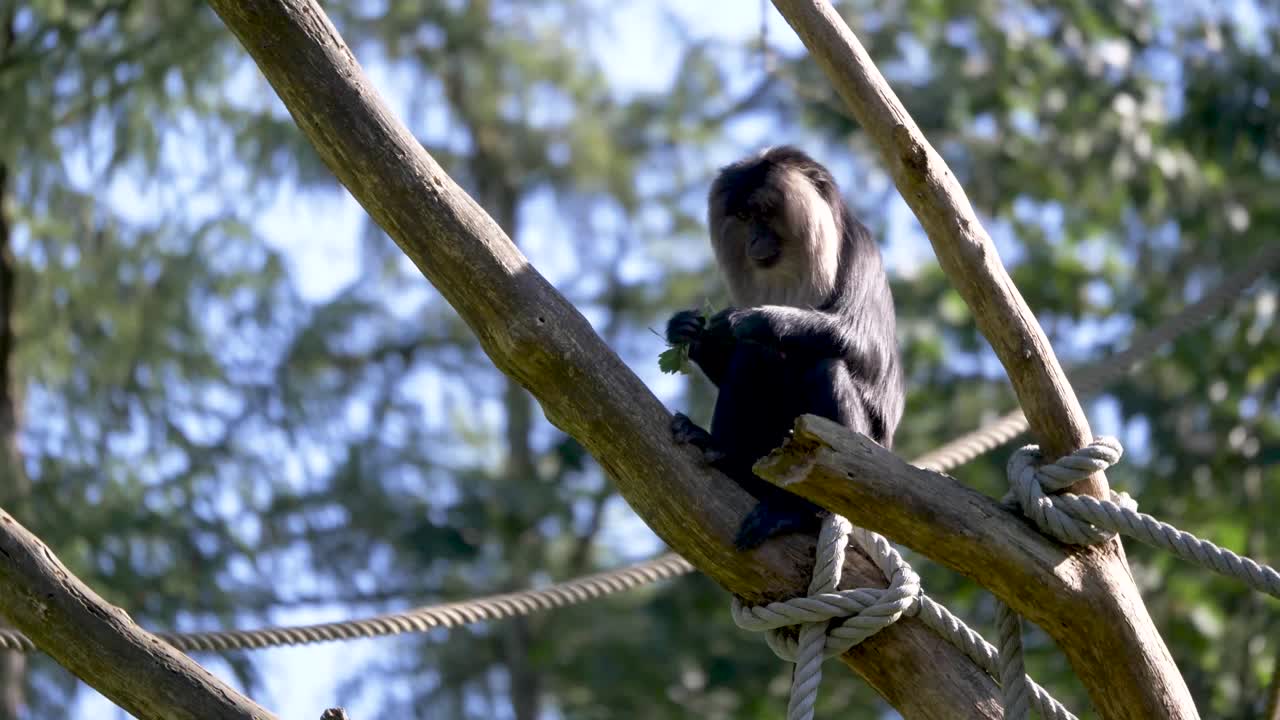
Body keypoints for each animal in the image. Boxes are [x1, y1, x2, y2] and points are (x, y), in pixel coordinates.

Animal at [666, 146, 904, 549]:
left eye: (764, 213)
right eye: (744, 217)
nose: (753, 241)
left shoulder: (862, 252)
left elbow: (860, 344)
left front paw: (748, 320)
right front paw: (692, 333)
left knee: (825, 367)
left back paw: (797, 512)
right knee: (751, 358)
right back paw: (724, 456)